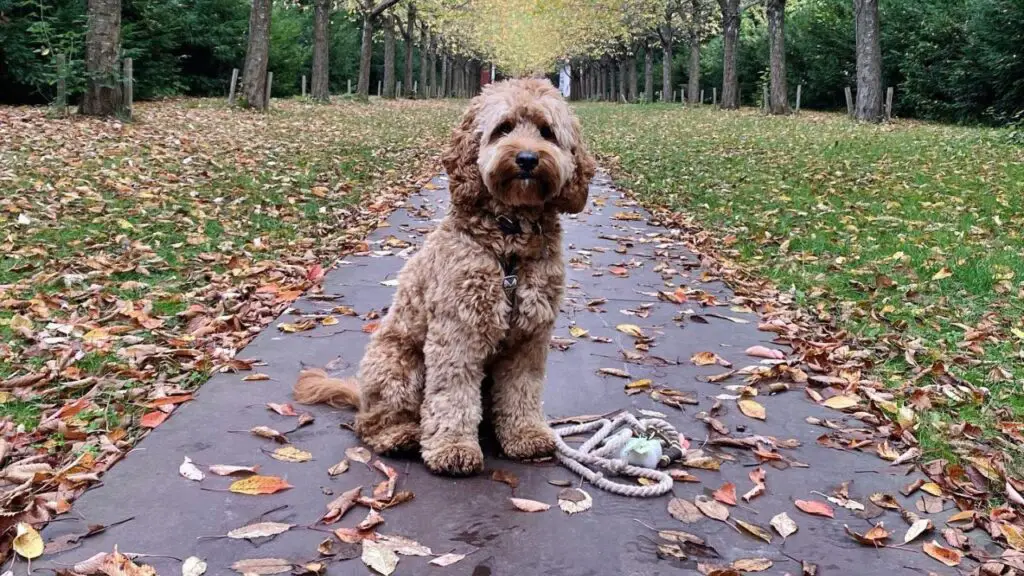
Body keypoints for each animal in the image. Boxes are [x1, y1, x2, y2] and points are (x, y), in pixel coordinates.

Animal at [292, 78, 598, 473]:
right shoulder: (459, 329)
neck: (509, 244)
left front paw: (526, 434)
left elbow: (522, 389)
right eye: (504, 129)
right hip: (398, 365)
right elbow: (452, 394)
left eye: (546, 132)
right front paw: (453, 448)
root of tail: (361, 396)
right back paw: (400, 435)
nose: (528, 159)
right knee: (372, 422)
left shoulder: (530, 336)